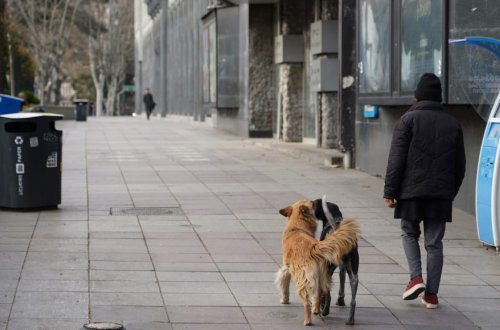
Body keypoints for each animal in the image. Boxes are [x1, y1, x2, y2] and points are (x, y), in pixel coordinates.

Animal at [312, 196, 360, 324]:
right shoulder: (344, 268)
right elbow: (342, 283)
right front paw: (341, 300)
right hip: (354, 274)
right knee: (353, 300)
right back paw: (350, 320)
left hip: (327, 268)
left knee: (327, 293)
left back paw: (325, 310)